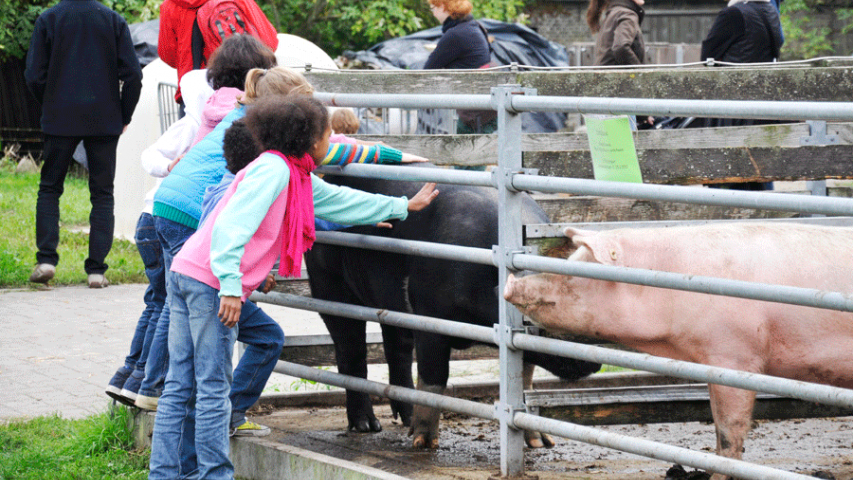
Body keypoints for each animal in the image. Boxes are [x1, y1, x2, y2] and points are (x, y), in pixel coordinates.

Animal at [502, 223, 852, 478]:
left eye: (577, 271)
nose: (510, 282)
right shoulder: (711, 360)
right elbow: (717, 425)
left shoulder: (737, 355)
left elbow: (730, 429)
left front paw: (718, 477)